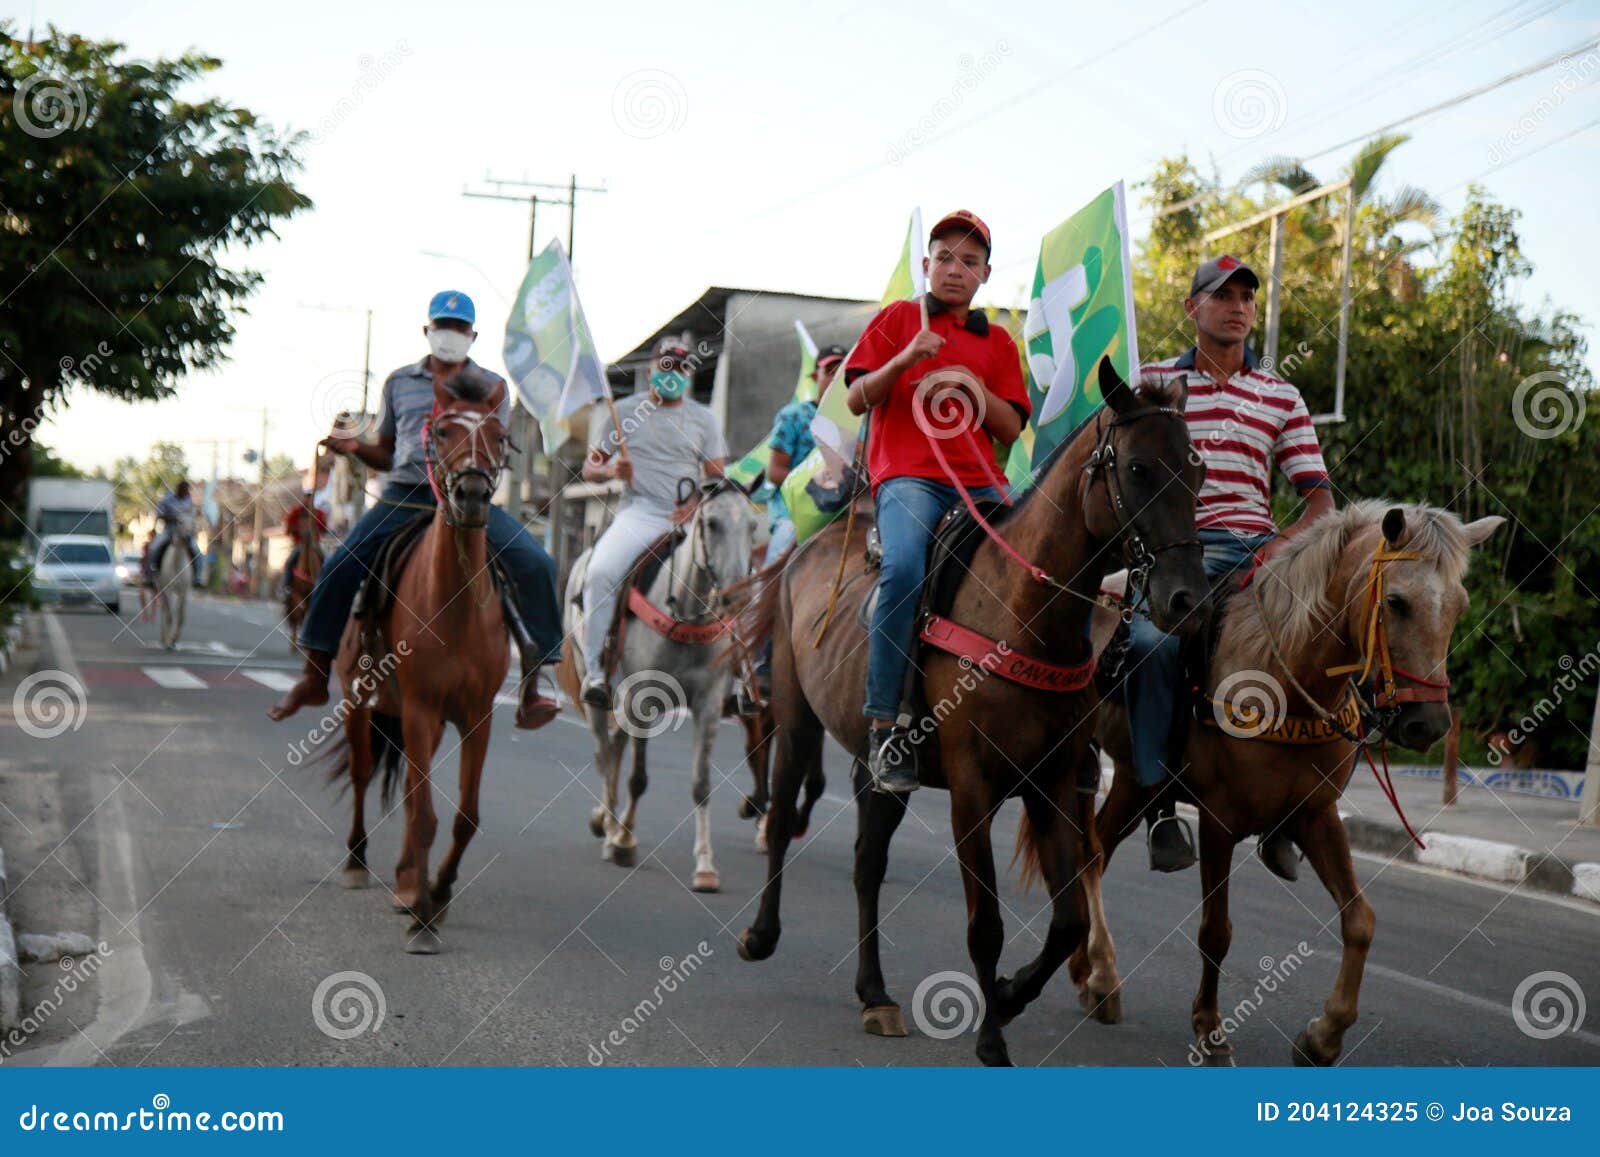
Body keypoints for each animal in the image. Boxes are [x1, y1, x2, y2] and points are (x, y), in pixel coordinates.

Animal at [156, 508, 194, 652]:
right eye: (179, 521)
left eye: (193, 522)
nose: (188, 538)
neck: (177, 565)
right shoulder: (167, 590)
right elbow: (170, 616)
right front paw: (169, 640)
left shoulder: (183, 591)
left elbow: (181, 616)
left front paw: (174, 639)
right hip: (160, 588)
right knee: (164, 610)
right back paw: (163, 638)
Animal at [331, 371, 512, 960]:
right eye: (444, 430)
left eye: (500, 436)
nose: (472, 495)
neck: (453, 606)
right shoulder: (419, 708)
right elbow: (427, 813)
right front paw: (423, 920)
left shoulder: (478, 717)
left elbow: (463, 817)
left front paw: (438, 891)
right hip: (361, 702)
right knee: (365, 775)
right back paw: (361, 865)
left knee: (413, 799)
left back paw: (410, 884)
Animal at [560, 473, 758, 889]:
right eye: (711, 524)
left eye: (752, 527)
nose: (737, 597)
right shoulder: (643, 699)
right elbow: (638, 777)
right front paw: (623, 842)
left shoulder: (709, 705)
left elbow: (701, 784)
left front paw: (705, 865)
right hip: (595, 685)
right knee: (604, 751)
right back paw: (608, 824)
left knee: (615, 747)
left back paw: (607, 820)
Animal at [732, 361, 1203, 1068]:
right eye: (1140, 468)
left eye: (1197, 471)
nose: (1186, 599)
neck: (1019, 612)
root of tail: (808, 549)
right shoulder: (972, 790)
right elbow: (986, 923)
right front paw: (992, 1038)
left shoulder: (1052, 782)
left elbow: (1068, 919)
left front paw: (1007, 995)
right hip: (794, 721)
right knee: (784, 815)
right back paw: (762, 933)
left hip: (881, 774)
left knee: (867, 862)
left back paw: (875, 994)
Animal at [1068, 502, 1504, 1062]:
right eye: (1397, 602)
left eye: (1459, 606)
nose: (1427, 723)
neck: (1285, 678)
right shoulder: (1219, 818)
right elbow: (1216, 930)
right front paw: (1210, 1029)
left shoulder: (1317, 815)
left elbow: (1360, 920)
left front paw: (1323, 1035)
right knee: (1091, 854)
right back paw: (1102, 974)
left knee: (1092, 850)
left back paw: (1085, 969)